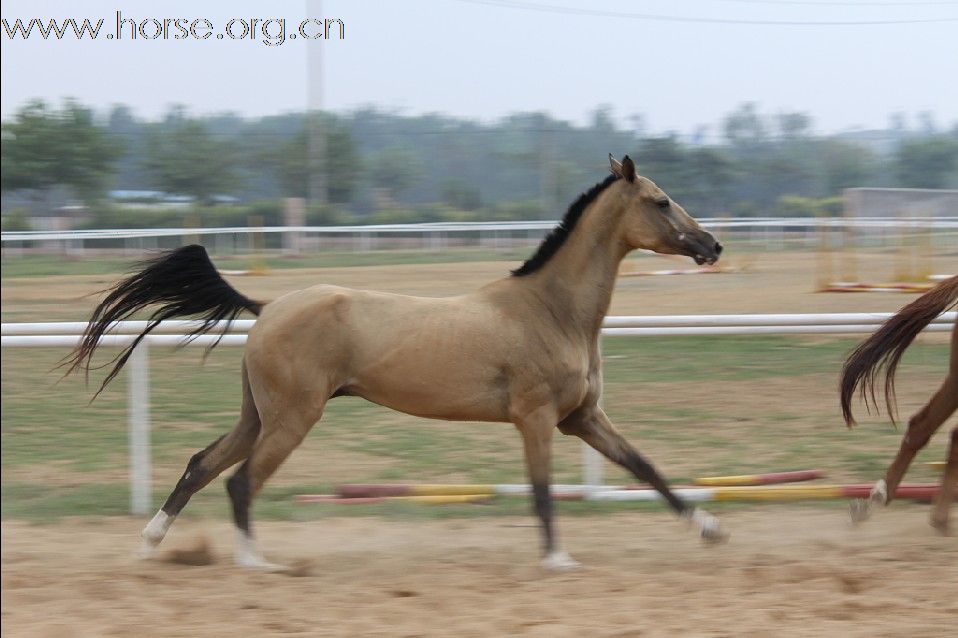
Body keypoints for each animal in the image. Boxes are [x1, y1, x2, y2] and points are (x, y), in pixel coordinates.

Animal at [63, 156, 728, 576]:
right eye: (661, 201)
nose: (712, 245)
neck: (551, 310)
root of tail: (270, 305)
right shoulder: (537, 420)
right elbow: (542, 492)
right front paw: (557, 559)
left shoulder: (583, 418)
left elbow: (646, 467)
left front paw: (711, 530)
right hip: (292, 421)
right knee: (241, 481)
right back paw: (257, 562)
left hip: (260, 416)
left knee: (203, 464)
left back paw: (151, 544)